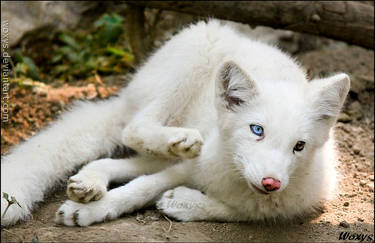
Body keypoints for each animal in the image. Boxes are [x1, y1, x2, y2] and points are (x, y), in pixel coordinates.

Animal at [1, 19, 352, 227]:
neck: (236, 179)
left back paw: (90, 183)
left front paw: (184, 203)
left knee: (113, 160)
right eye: (257, 130)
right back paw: (175, 139)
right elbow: (140, 188)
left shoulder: (286, 206)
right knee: (133, 130)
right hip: (190, 60)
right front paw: (89, 211)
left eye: (299, 146)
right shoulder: (191, 166)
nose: (271, 183)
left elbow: (237, 213)